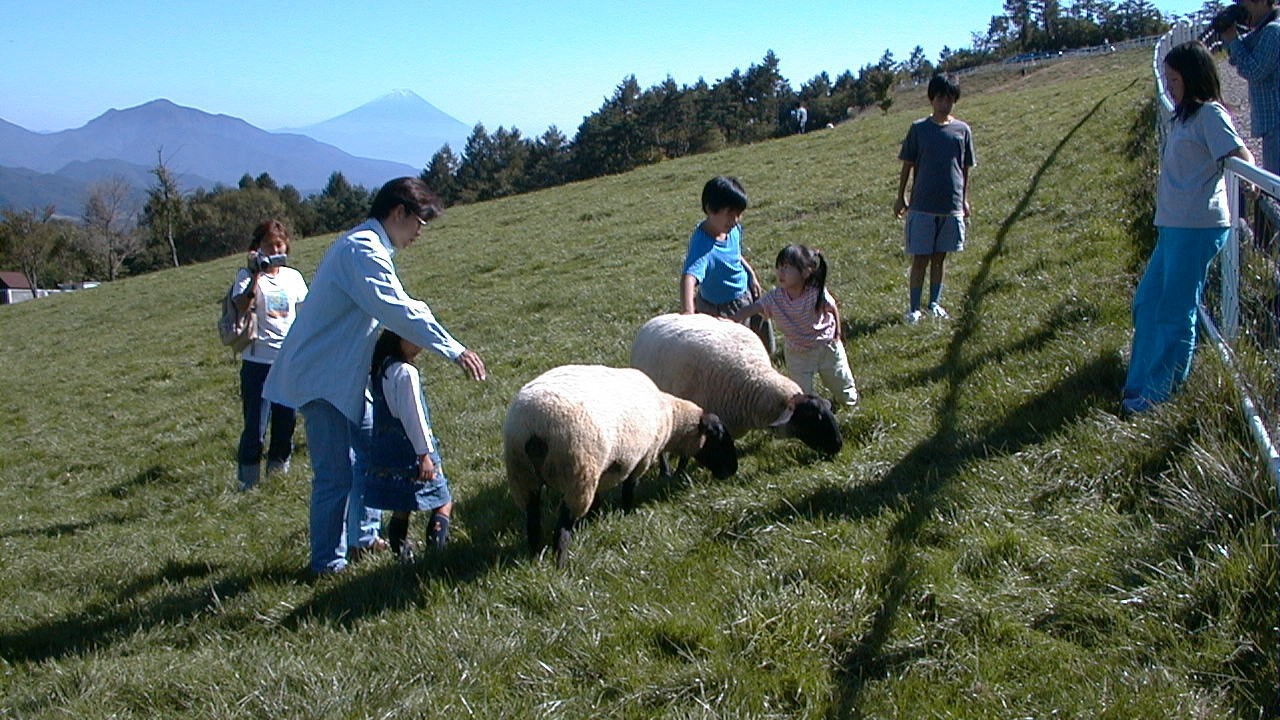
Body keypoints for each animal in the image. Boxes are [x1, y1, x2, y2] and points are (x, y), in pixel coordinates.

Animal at [501, 361, 737, 563]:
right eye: (717, 436)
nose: (732, 470)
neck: (669, 418)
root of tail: (533, 427)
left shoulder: (602, 471)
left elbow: (599, 499)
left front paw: (594, 519)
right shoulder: (642, 459)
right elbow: (629, 489)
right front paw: (627, 514)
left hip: (523, 476)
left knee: (533, 521)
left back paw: (535, 557)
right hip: (578, 473)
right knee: (562, 530)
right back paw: (561, 565)